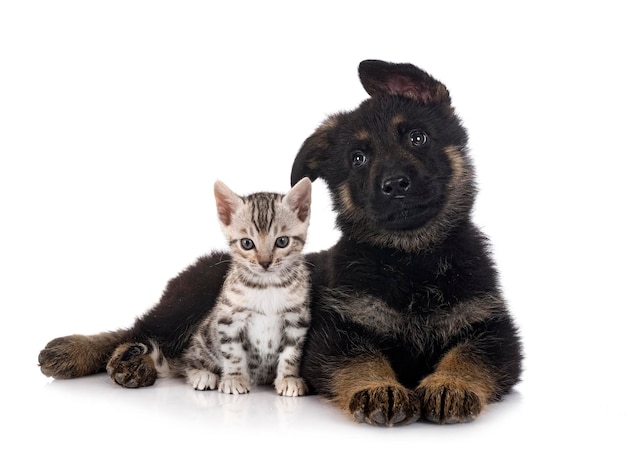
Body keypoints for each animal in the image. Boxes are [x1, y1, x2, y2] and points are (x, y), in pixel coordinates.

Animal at [184, 178, 312, 396]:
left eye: (282, 241)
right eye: (246, 243)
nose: (265, 262)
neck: (267, 285)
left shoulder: (296, 319)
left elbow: (292, 353)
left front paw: (289, 378)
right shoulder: (229, 318)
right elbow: (233, 352)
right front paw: (234, 379)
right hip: (205, 337)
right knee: (190, 360)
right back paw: (203, 374)